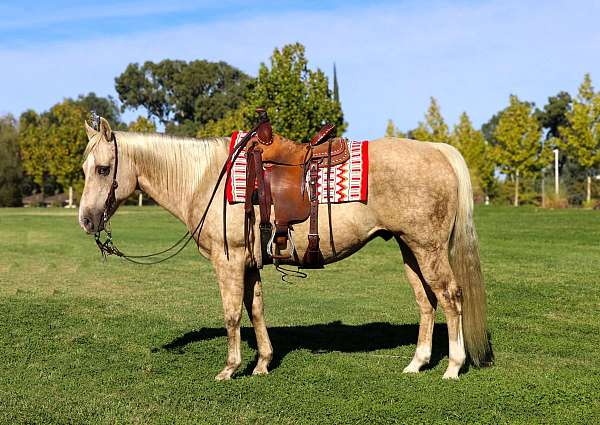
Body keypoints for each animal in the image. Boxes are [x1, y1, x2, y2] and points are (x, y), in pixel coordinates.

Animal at [78, 117, 492, 380]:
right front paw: (262, 363)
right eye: (83, 169)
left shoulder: (228, 261)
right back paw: (417, 363)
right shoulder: (249, 262)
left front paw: (230, 368)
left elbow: (232, 314)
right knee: (426, 301)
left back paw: (453, 366)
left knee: (451, 297)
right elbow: (256, 309)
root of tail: (438, 150)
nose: (86, 219)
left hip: (428, 247)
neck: (207, 179)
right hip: (410, 248)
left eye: (103, 169)